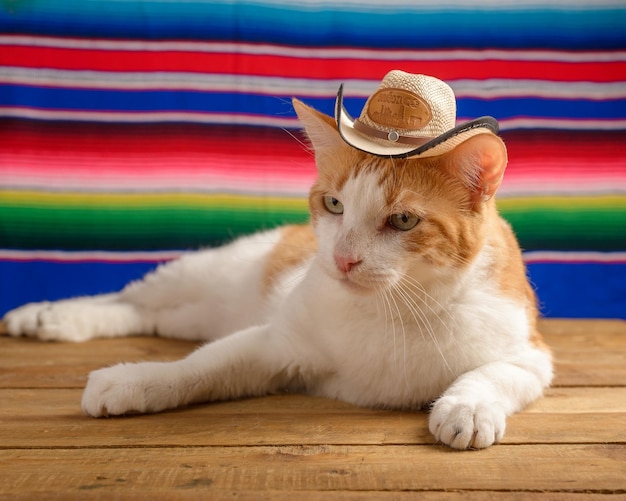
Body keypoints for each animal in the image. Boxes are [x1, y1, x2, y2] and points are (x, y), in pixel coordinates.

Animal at [2, 71, 548, 450]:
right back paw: (46, 316)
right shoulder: (274, 342)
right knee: (132, 298)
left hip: (195, 313)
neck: (390, 311)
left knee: (148, 316)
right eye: (334, 204)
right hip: (201, 273)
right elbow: (199, 366)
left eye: (404, 221)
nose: (342, 259)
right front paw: (135, 380)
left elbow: (495, 372)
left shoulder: (532, 354)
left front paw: (467, 407)